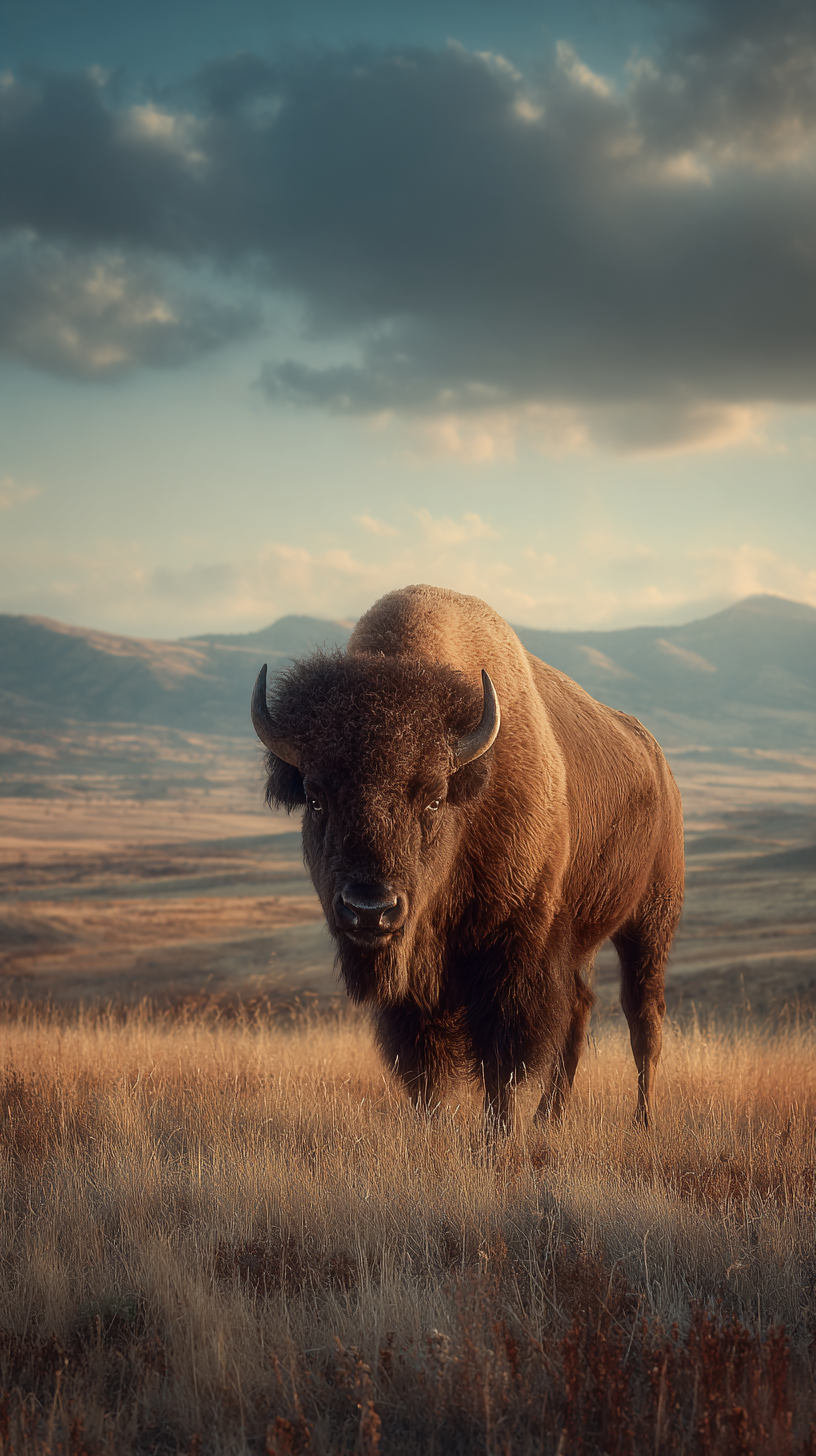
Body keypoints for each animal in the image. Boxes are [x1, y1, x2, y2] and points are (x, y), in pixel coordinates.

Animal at [251, 584, 684, 1129]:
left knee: (642, 1019)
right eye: (315, 797)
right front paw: (433, 1130)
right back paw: (548, 1120)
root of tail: (660, 767)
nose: (370, 909)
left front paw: (497, 1135)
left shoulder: (515, 952)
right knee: (581, 1008)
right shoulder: (415, 988)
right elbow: (425, 1071)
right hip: (583, 940)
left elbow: (502, 1062)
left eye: (434, 798)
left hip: (650, 923)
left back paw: (642, 1122)